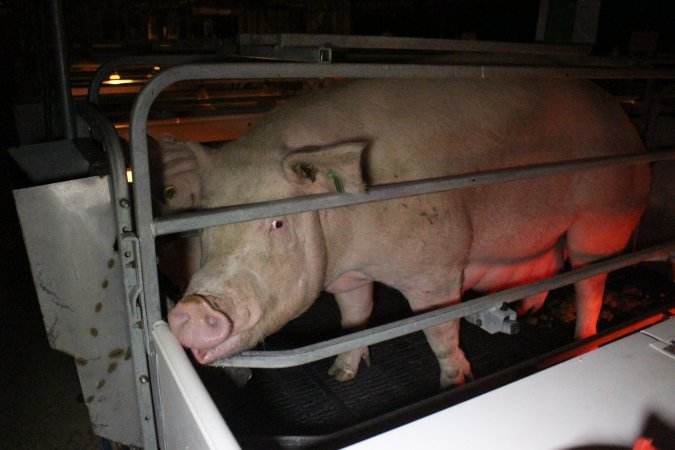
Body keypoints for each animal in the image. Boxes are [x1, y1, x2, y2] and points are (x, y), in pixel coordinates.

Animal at [166, 78, 652, 386]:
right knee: (553, 263)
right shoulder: (348, 277)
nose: (192, 309)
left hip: (601, 221)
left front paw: (454, 384)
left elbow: (439, 330)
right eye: (202, 219)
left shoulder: (436, 270)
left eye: (278, 222)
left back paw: (582, 342)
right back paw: (528, 310)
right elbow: (354, 319)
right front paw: (340, 375)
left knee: (590, 281)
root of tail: (623, 120)